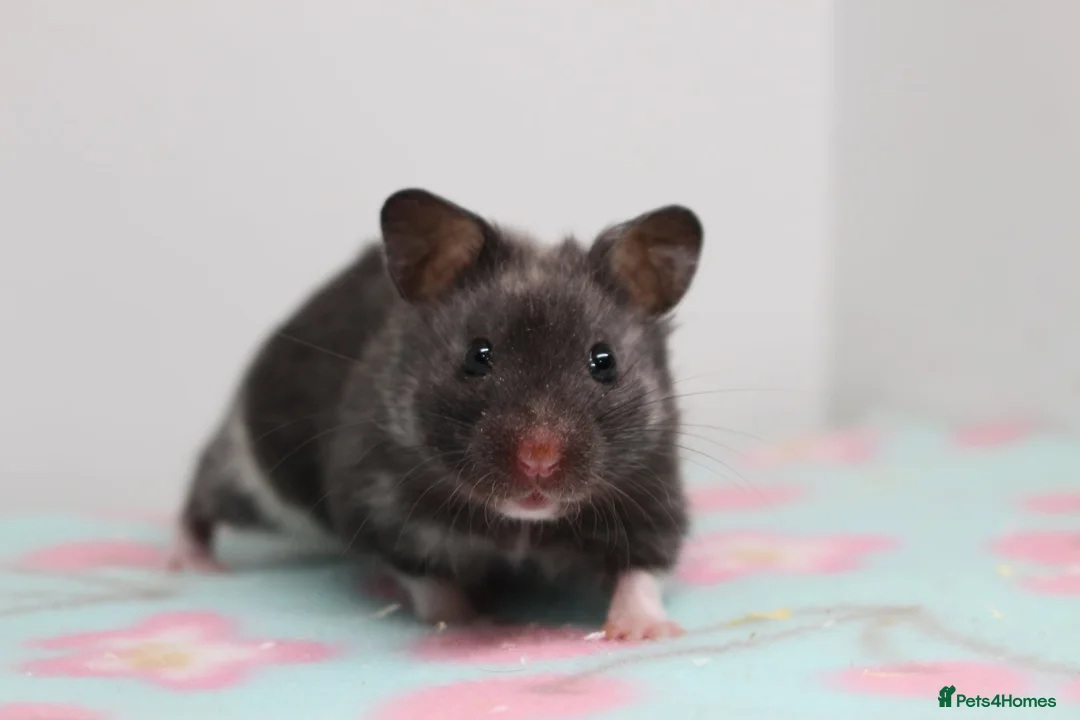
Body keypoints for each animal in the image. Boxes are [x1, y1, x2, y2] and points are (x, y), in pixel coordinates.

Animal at [172, 188, 703, 641]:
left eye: (604, 360)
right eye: (477, 355)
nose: (538, 463)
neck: (521, 524)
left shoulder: (652, 494)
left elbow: (644, 570)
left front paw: (644, 632)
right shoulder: (379, 505)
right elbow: (428, 580)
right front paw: (476, 623)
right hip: (251, 474)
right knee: (201, 495)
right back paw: (191, 563)